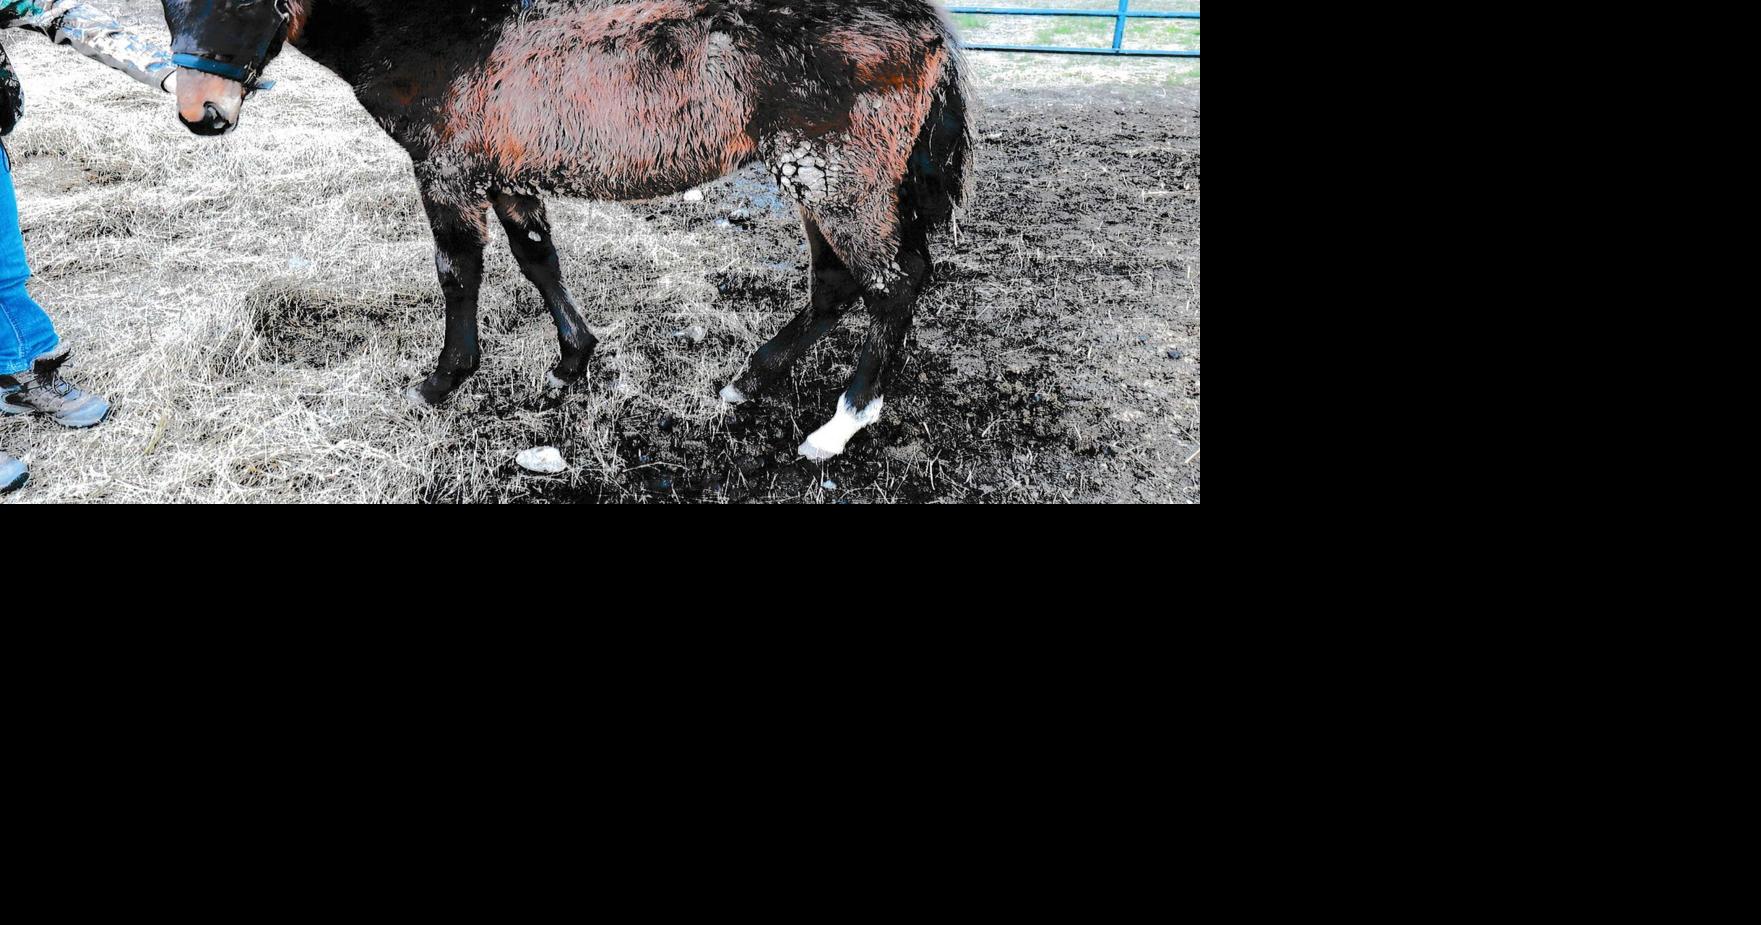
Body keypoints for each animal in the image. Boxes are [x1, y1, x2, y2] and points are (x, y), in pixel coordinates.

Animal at [161, 0, 972, 461]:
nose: (200, 111)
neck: (445, 29)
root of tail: (924, 21)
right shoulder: (508, 172)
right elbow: (537, 259)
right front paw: (569, 364)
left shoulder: (445, 169)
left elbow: (457, 271)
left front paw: (441, 381)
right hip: (813, 177)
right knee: (837, 283)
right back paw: (745, 382)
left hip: (836, 176)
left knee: (891, 285)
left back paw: (839, 427)